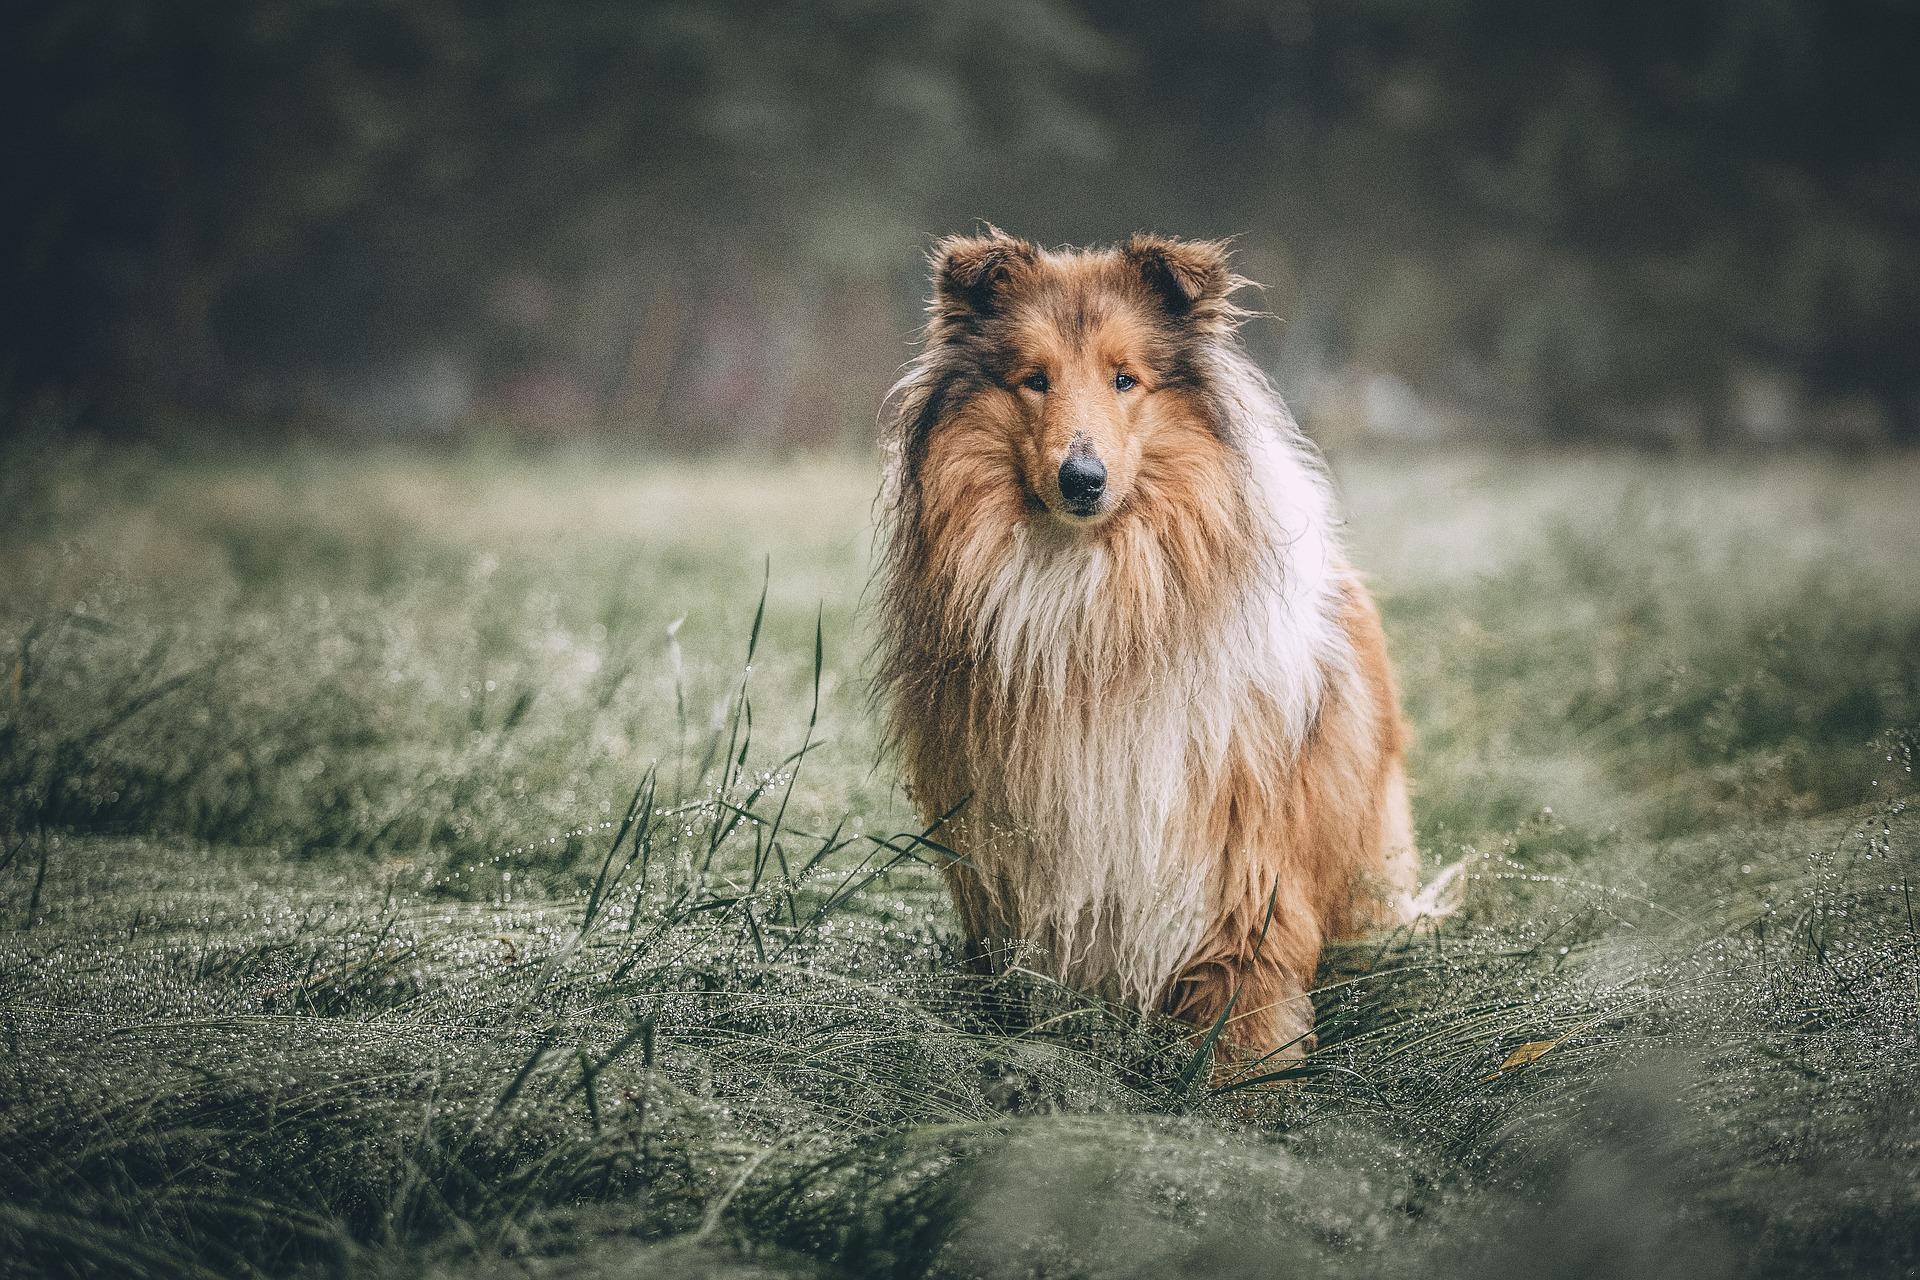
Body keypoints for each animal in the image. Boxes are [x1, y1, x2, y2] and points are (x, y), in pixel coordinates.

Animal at [879, 230, 1443, 1059]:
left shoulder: (1241, 880)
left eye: (1125, 379)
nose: (1081, 479)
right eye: (1034, 380)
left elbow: (1244, 1028)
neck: (1091, 597)